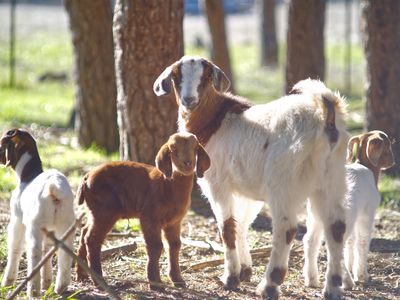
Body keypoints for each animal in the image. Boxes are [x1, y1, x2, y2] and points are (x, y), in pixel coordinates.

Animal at [0, 129, 75, 298]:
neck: (27, 175)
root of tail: (55, 187)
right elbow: (47, 251)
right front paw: (46, 283)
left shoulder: (17, 220)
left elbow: (15, 248)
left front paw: (7, 282)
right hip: (65, 225)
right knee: (64, 254)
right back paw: (60, 288)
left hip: (35, 226)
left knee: (35, 254)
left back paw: (33, 291)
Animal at [76, 133, 211, 288]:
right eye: (174, 150)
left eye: (195, 149)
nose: (188, 163)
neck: (167, 184)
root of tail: (86, 178)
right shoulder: (149, 216)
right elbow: (155, 246)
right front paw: (155, 283)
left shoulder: (174, 222)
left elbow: (174, 246)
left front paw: (178, 280)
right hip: (105, 210)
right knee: (92, 239)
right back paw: (99, 280)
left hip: (94, 210)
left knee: (84, 231)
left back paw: (81, 275)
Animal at [153, 55, 350, 298]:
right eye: (176, 76)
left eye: (205, 77)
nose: (189, 100)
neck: (214, 120)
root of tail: (326, 118)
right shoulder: (247, 189)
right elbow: (242, 224)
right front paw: (245, 270)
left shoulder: (217, 184)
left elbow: (227, 227)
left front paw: (231, 277)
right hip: (332, 179)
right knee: (336, 226)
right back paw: (332, 288)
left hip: (284, 182)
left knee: (287, 228)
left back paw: (270, 285)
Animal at [304, 129, 394, 288]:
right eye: (388, 145)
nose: (393, 161)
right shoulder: (366, 214)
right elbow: (362, 242)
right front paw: (361, 275)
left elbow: (351, 243)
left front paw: (352, 267)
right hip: (342, 217)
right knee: (335, 245)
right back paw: (346, 281)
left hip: (315, 217)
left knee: (311, 241)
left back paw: (312, 279)